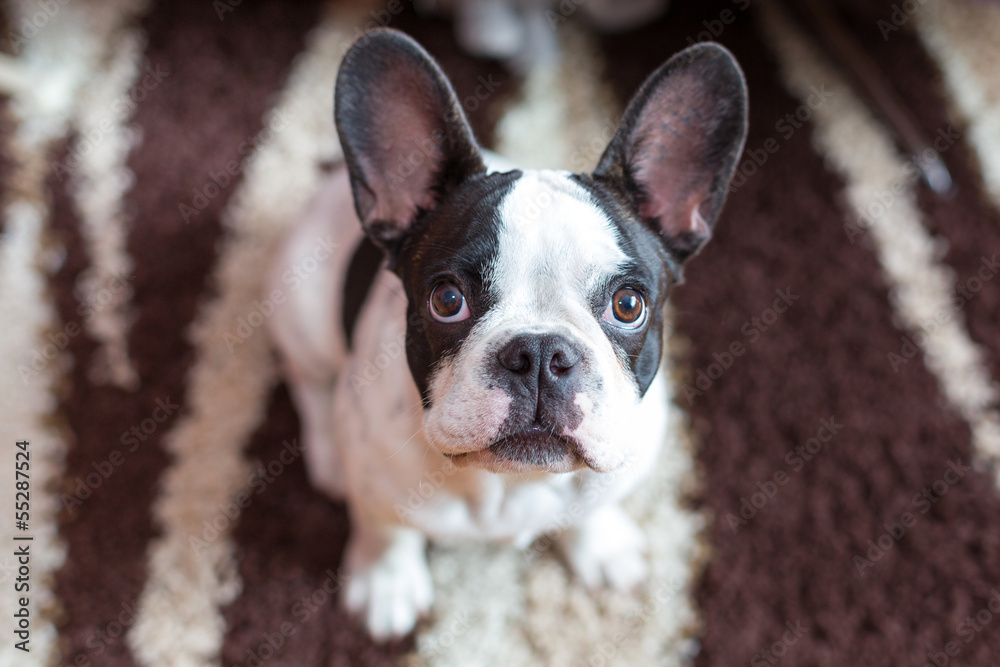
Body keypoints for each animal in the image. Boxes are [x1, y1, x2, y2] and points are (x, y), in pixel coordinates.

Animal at [270, 28, 748, 640]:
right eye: (447, 300)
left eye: (628, 305)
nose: (540, 353)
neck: (514, 485)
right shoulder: (374, 480)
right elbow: (385, 527)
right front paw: (386, 582)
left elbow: (590, 508)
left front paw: (600, 545)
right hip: (302, 309)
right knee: (307, 378)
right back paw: (328, 454)